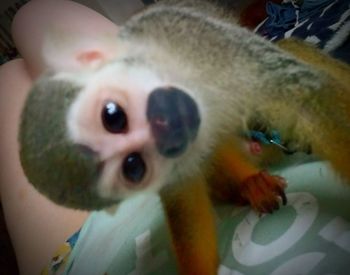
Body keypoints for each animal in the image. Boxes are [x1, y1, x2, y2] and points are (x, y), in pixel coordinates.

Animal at [18, 1, 350, 274]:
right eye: (134, 166)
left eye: (113, 116)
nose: (163, 135)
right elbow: (183, 195)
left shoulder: (200, 38)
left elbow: (307, 97)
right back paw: (245, 183)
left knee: (291, 50)